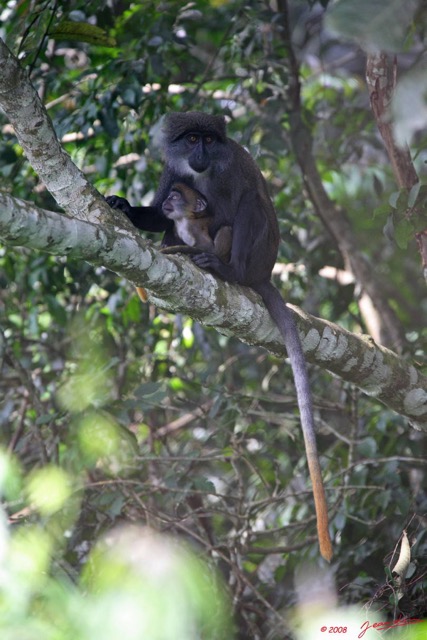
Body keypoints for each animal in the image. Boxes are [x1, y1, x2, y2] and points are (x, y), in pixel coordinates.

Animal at [107, 114, 334, 560]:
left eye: (210, 141)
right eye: (192, 138)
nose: (200, 153)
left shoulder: (231, 171)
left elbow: (235, 206)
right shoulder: (172, 172)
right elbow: (159, 215)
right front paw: (125, 207)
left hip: (261, 253)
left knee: (249, 208)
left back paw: (231, 272)